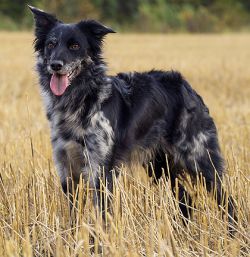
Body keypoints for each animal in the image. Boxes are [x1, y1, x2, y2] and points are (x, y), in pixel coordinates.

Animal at [29, 5, 236, 228]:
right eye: (51, 44)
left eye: (75, 45)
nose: (55, 65)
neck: (80, 99)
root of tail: (187, 87)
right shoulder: (66, 169)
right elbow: (74, 216)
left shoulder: (100, 170)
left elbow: (102, 217)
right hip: (160, 165)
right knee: (186, 200)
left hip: (199, 158)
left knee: (226, 200)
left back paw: (232, 231)